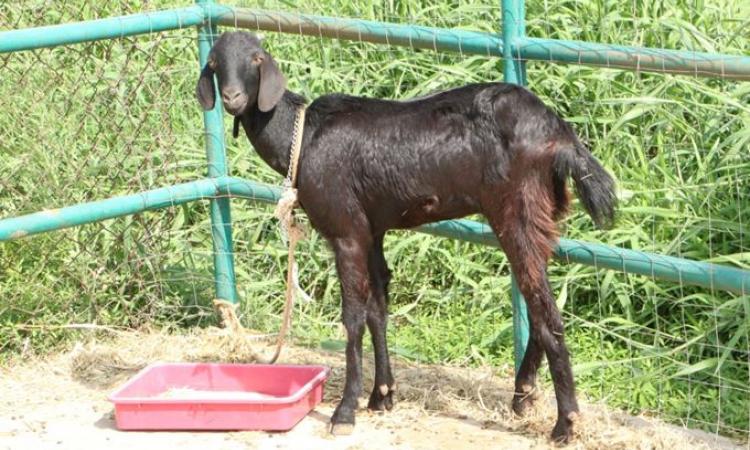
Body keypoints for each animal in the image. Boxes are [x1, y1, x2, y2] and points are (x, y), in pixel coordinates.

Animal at [198, 32, 616, 442]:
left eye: (256, 60)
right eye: (215, 63)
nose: (233, 98)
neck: (301, 138)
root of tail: (559, 133)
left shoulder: (346, 231)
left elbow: (353, 315)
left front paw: (345, 411)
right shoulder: (371, 229)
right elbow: (377, 309)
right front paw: (382, 395)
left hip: (516, 210)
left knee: (546, 310)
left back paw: (565, 423)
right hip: (542, 213)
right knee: (537, 297)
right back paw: (524, 395)